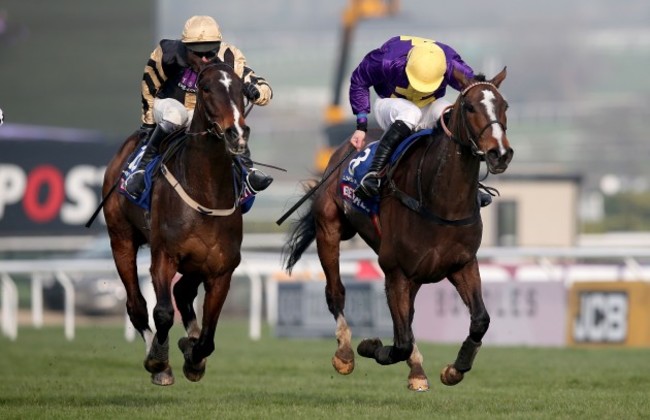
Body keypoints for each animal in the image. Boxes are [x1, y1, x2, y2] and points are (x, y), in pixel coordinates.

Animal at [101, 60, 248, 386]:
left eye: (242, 89)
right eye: (206, 89)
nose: (236, 133)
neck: (206, 192)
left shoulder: (221, 268)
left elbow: (208, 336)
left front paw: (193, 355)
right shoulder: (164, 256)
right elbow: (163, 313)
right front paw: (159, 360)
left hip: (195, 262)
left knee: (182, 293)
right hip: (121, 239)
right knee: (137, 306)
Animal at [282, 68, 512, 390]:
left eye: (504, 106)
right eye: (469, 107)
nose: (500, 153)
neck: (442, 203)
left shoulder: (462, 263)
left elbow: (480, 320)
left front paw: (455, 369)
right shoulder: (396, 269)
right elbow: (400, 341)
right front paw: (370, 346)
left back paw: (416, 370)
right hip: (330, 230)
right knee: (335, 292)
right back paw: (345, 353)